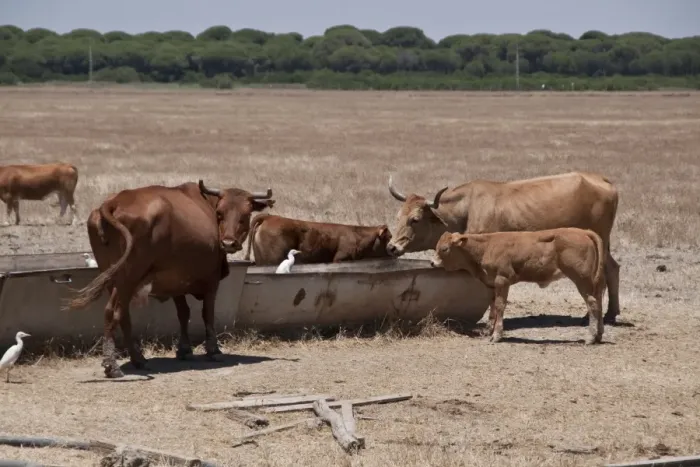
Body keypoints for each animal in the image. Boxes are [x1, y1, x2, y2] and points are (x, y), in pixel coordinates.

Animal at [63, 180, 275, 378]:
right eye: (220, 213)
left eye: (245, 214)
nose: (229, 243)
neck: (207, 207)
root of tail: (113, 203)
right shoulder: (211, 281)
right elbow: (207, 314)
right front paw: (213, 349)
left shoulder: (175, 281)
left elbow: (183, 313)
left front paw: (184, 349)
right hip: (127, 277)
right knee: (112, 312)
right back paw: (112, 364)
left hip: (111, 276)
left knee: (123, 315)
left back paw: (138, 358)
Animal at [385, 171, 621, 325]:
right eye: (398, 216)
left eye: (415, 219)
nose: (391, 247)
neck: (468, 208)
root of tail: (602, 181)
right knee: (612, 269)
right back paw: (609, 314)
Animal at [429, 228, 607, 345]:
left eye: (444, 248)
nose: (432, 262)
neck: (486, 247)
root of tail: (583, 232)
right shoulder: (493, 283)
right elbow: (492, 305)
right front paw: (489, 329)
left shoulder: (503, 280)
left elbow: (499, 306)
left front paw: (497, 335)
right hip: (592, 281)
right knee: (598, 300)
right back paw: (598, 335)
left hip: (581, 279)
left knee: (592, 303)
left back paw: (590, 337)